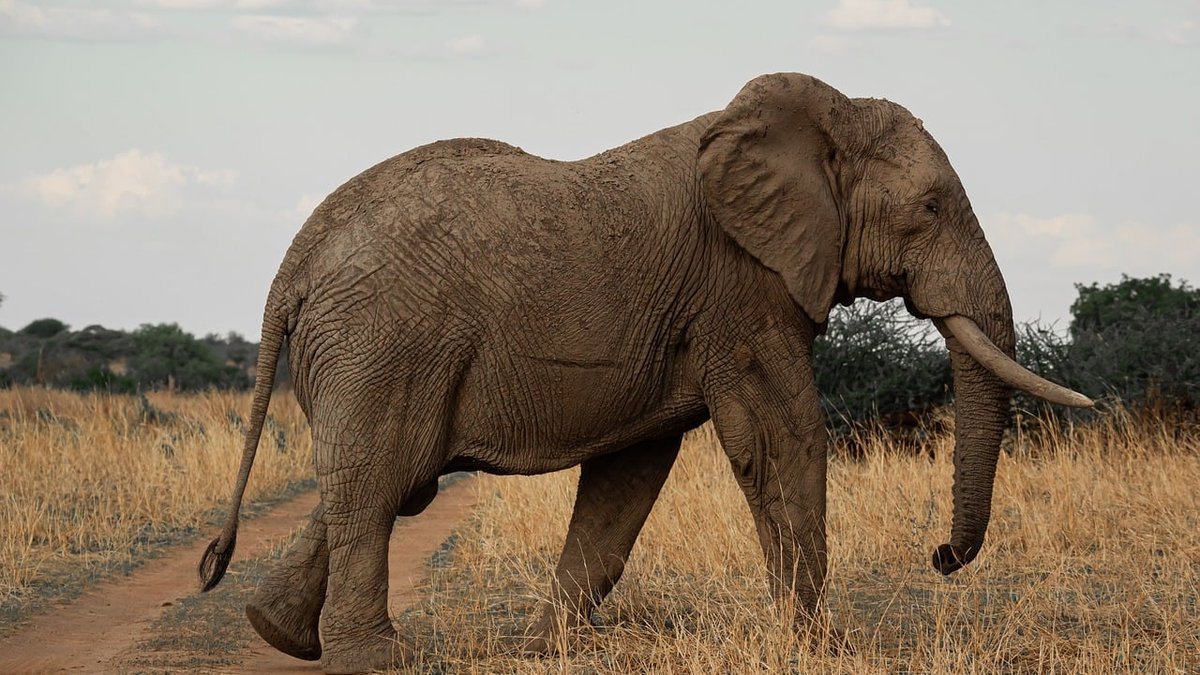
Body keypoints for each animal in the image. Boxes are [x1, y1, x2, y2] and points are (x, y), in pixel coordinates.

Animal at [197, 72, 1092, 673]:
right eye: (932, 209)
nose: (940, 555)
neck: (816, 119)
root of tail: (294, 263)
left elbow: (632, 471)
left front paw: (549, 646)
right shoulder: (742, 289)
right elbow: (784, 437)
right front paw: (824, 646)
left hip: (368, 350)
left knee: (376, 479)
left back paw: (276, 632)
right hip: (384, 341)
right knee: (380, 481)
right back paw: (381, 658)